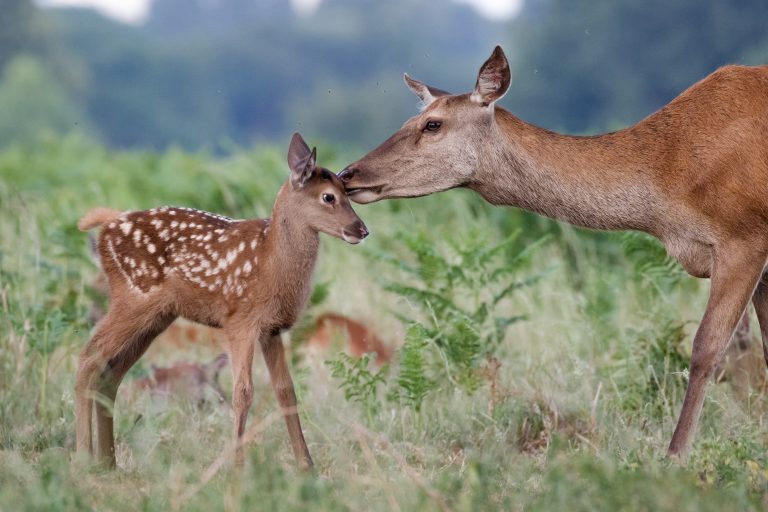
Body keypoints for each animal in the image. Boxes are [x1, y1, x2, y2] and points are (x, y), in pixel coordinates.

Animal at [76, 133, 368, 468]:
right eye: (329, 197)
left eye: (348, 192)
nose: (361, 229)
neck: (271, 263)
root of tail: (107, 226)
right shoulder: (239, 321)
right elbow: (243, 391)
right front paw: (237, 466)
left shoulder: (271, 329)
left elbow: (286, 391)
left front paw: (306, 465)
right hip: (133, 297)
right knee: (88, 357)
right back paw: (83, 456)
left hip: (156, 316)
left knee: (110, 372)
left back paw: (108, 462)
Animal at [340, 46, 768, 458]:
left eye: (433, 124)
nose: (347, 175)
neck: (669, 183)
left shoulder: (743, 238)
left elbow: (706, 348)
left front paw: (675, 457)